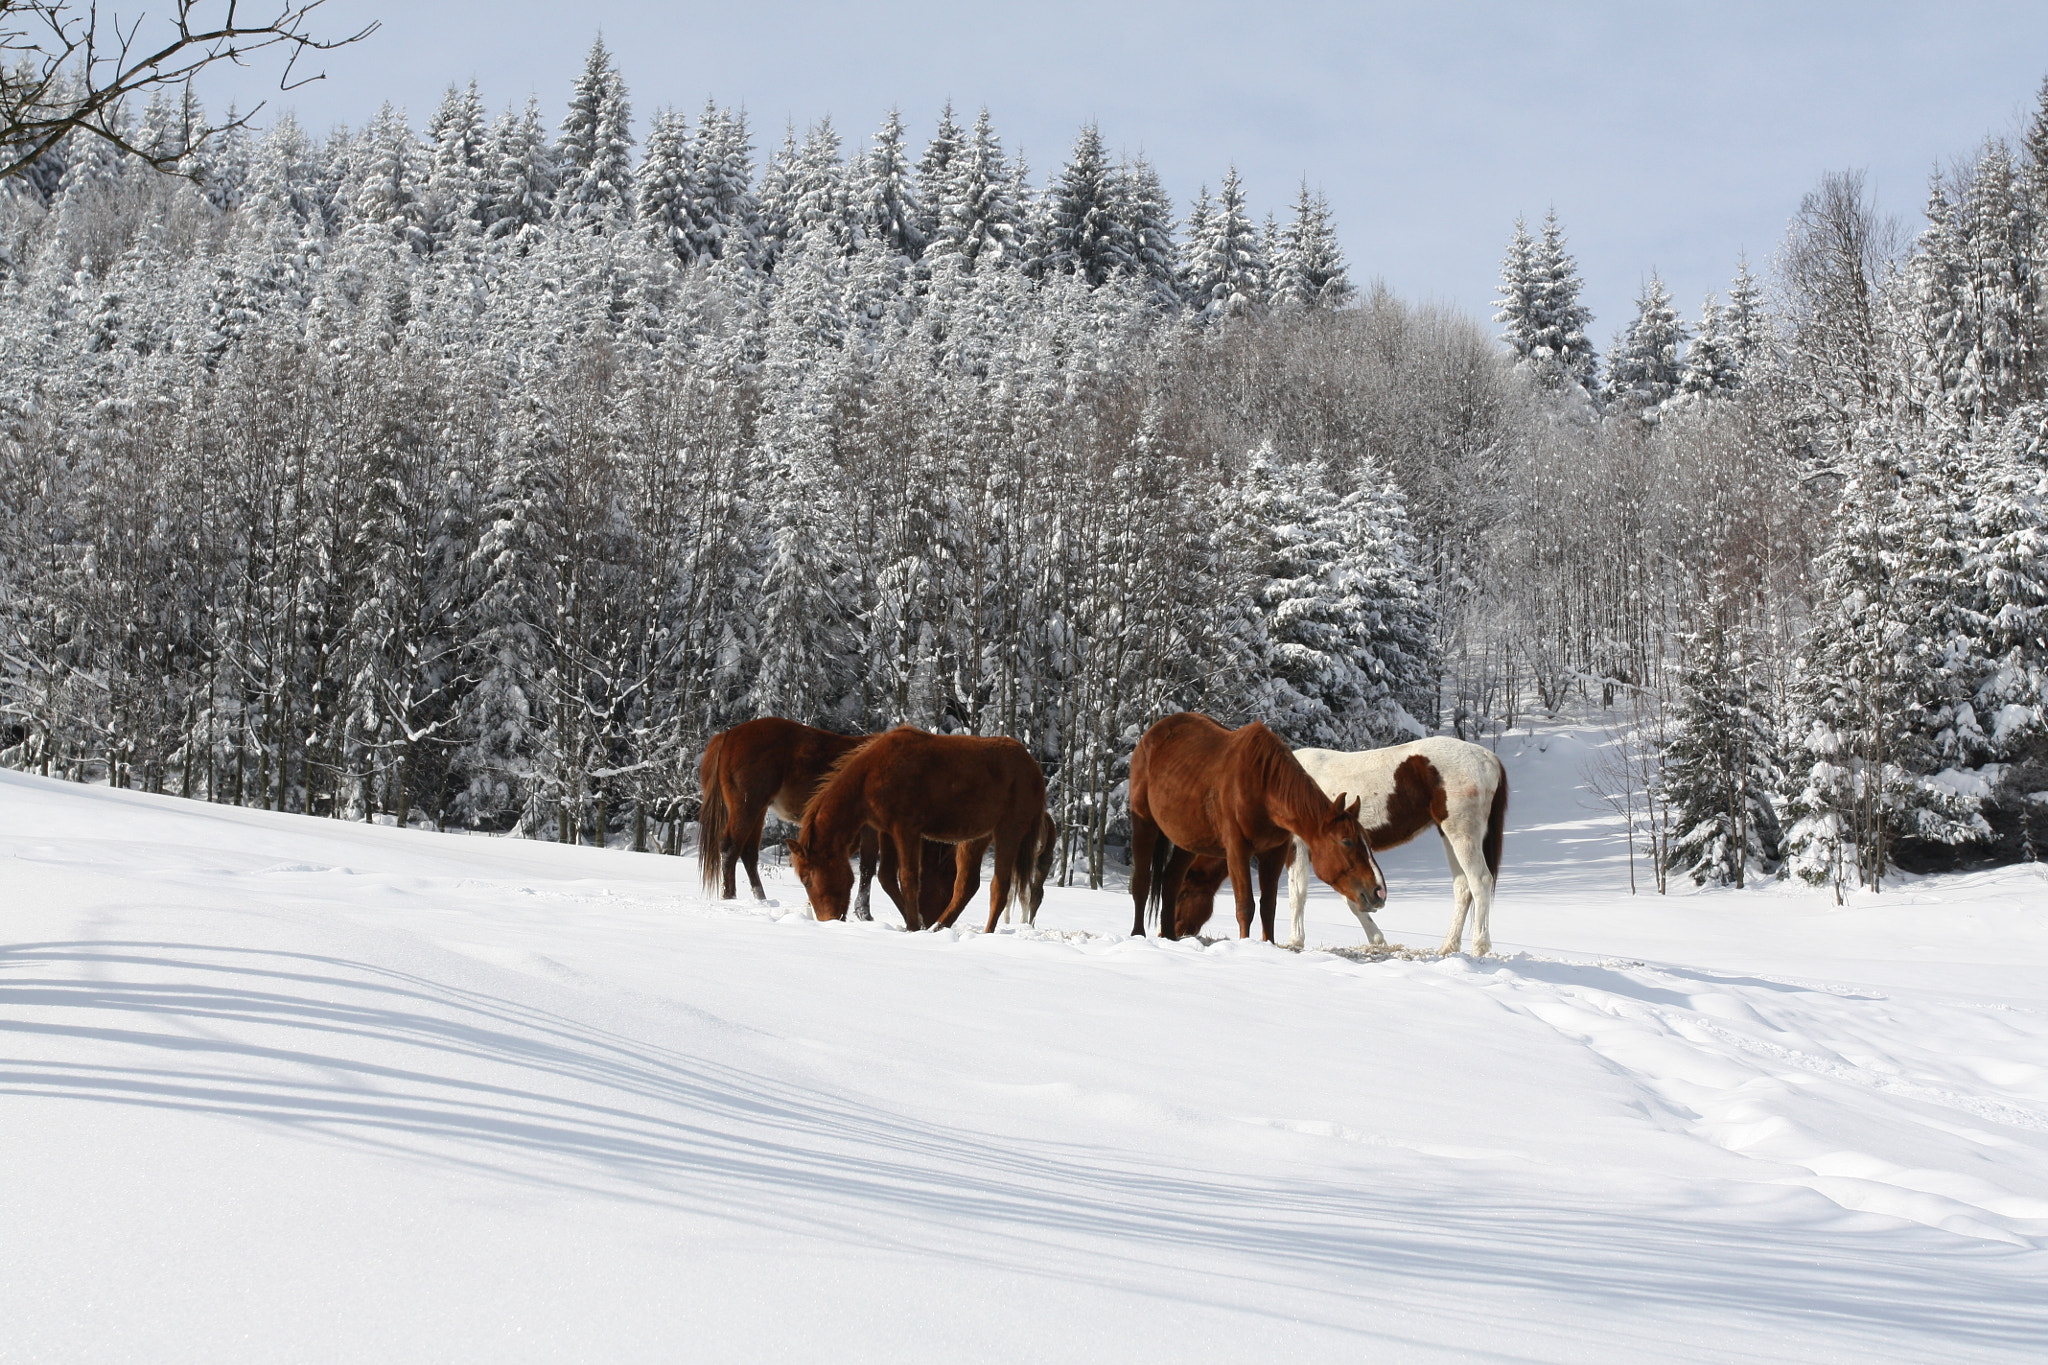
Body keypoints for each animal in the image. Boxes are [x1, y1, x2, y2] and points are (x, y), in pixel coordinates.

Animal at [782, 724, 1040, 941]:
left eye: (806, 878)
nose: (828, 919)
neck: (870, 776)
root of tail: (1031, 764)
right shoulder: (886, 831)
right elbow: (886, 878)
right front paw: (915, 923)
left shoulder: (906, 830)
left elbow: (908, 878)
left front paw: (915, 926)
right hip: (975, 838)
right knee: (966, 886)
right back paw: (939, 927)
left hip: (1008, 830)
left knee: (999, 886)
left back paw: (986, 934)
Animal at [1122, 720, 1392, 945]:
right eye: (1346, 841)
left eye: (1367, 842)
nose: (1378, 891)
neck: (1263, 785)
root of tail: (1153, 733)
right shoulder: (1237, 851)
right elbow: (1246, 906)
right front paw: (1246, 945)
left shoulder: (1274, 853)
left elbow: (1268, 907)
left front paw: (1267, 945)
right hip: (1145, 825)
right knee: (1142, 882)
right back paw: (1137, 935)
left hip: (1187, 841)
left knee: (1170, 881)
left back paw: (1169, 937)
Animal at [1286, 740, 1515, 957]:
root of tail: (1488, 757)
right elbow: (1351, 898)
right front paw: (1378, 941)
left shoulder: (1298, 847)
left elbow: (1297, 893)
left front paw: (1295, 941)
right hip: (1449, 834)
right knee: (1463, 887)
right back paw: (1448, 947)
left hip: (1462, 834)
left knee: (1480, 881)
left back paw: (1479, 948)